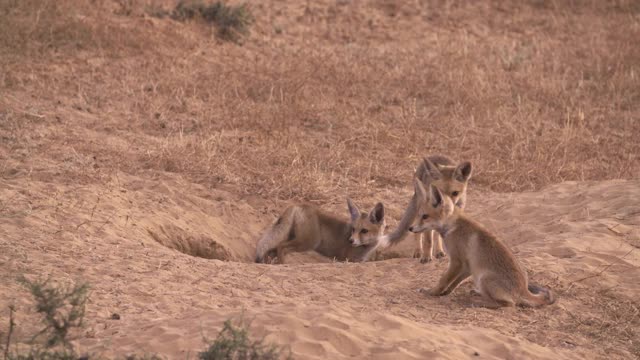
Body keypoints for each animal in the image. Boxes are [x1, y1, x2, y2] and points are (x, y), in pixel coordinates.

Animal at [254, 198, 384, 262]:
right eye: (353, 229)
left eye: (364, 231)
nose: (351, 241)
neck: (366, 249)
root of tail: (298, 205)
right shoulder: (347, 259)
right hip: (309, 242)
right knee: (281, 247)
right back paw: (282, 264)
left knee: (272, 249)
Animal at [410, 179, 556, 308]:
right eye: (419, 215)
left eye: (425, 216)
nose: (410, 228)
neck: (452, 225)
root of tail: (523, 290)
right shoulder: (467, 266)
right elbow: (454, 283)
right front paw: (445, 293)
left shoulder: (456, 261)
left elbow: (443, 280)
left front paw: (431, 292)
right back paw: (478, 294)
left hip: (483, 279)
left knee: (509, 304)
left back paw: (478, 303)